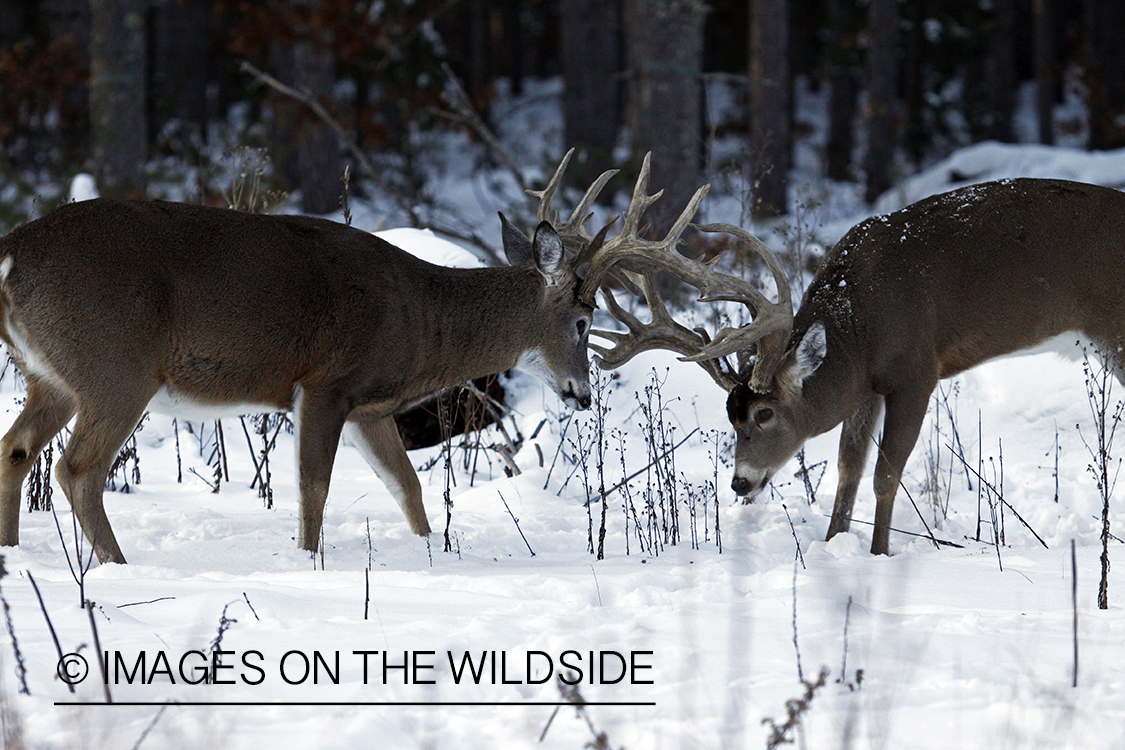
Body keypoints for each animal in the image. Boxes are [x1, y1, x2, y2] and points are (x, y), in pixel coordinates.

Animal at [585, 174, 1125, 550]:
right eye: (729, 416)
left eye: (765, 413)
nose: (741, 481)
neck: (860, 322)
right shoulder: (866, 386)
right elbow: (849, 468)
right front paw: (832, 545)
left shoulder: (916, 371)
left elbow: (887, 472)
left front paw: (878, 554)